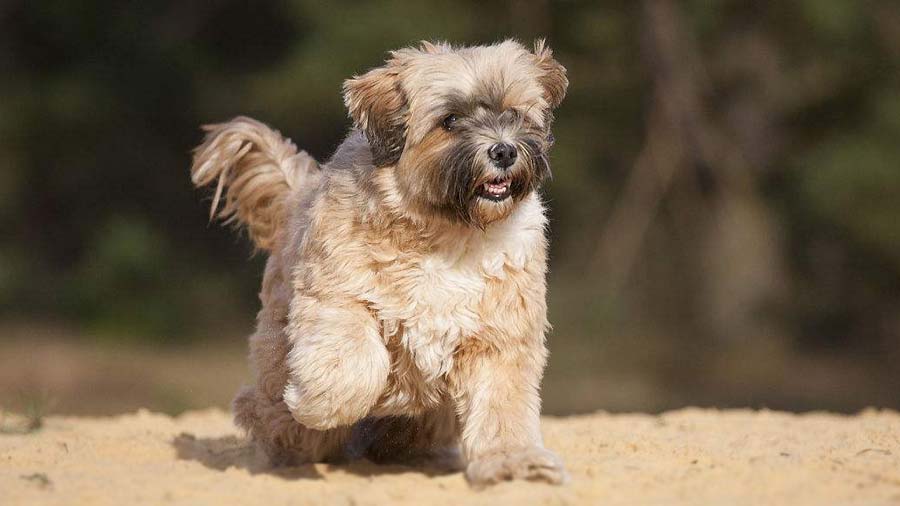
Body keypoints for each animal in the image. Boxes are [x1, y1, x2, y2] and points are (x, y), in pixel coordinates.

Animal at [190, 40, 568, 486]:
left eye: (514, 113)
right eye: (449, 120)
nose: (505, 150)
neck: (447, 234)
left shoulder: (500, 336)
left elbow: (503, 405)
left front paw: (515, 462)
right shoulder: (337, 298)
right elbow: (352, 364)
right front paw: (320, 403)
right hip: (279, 355)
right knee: (266, 410)